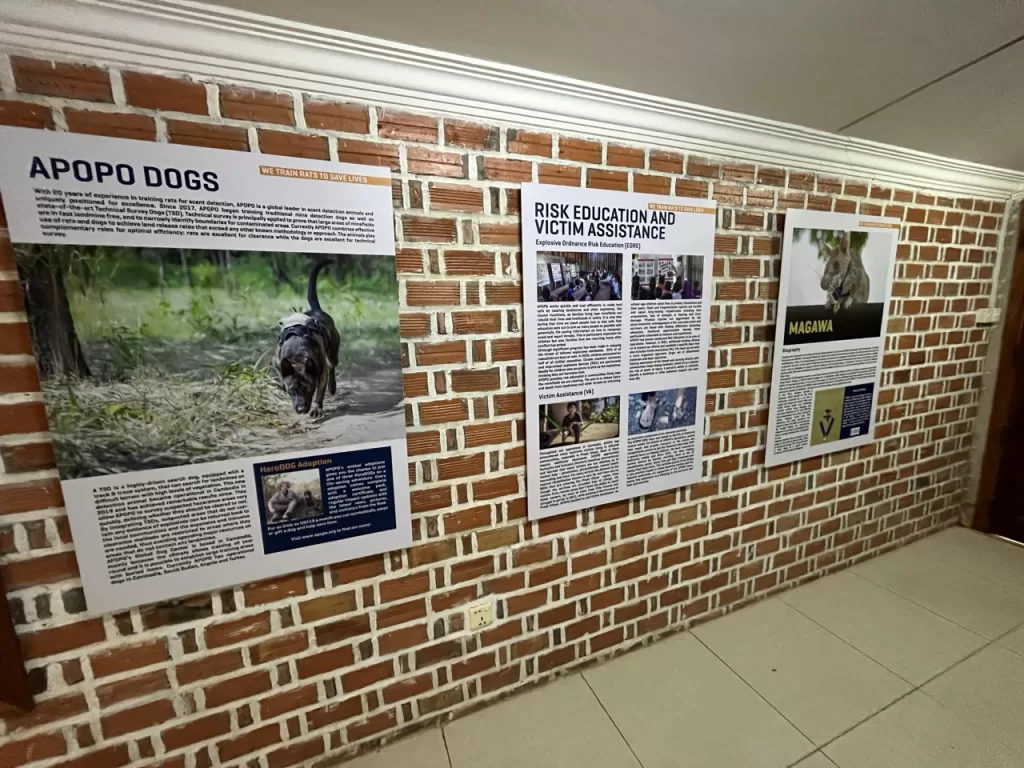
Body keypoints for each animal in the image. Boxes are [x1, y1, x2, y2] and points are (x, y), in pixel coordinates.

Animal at [274, 264, 342, 421]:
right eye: (292, 391)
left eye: (309, 389)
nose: (300, 409)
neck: (297, 356)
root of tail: (316, 310)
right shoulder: (277, 361)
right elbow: (281, 373)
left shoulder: (321, 373)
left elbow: (320, 393)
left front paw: (317, 408)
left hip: (333, 353)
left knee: (332, 366)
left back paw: (332, 386)